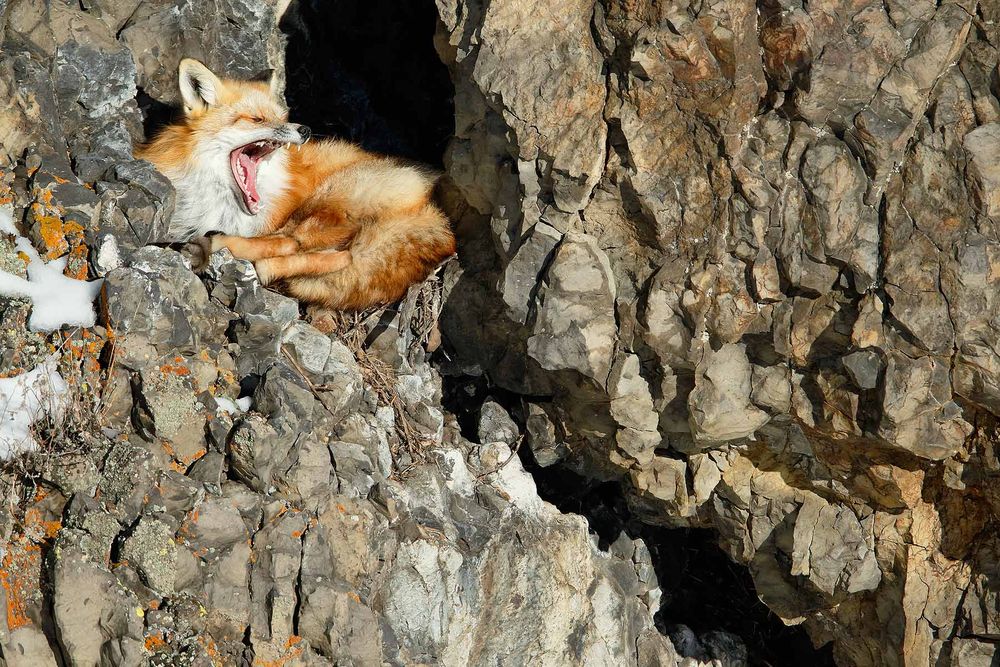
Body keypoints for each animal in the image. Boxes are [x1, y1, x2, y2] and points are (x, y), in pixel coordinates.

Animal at [136, 58, 455, 311]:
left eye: (281, 117)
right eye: (256, 119)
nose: (305, 129)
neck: (217, 202)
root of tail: (438, 211)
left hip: (327, 198)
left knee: (302, 245)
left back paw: (220, 249)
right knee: (334, 255)